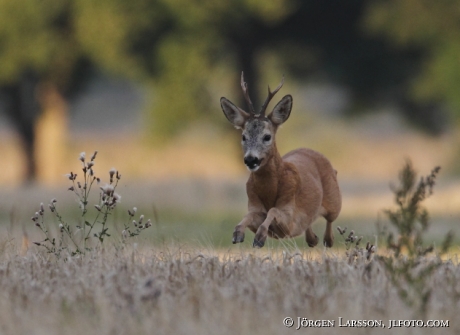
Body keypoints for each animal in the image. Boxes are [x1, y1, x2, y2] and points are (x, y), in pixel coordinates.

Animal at [219, 73, 342, 249]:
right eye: (243, 136)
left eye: (267, 136)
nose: (250, 159)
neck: (269, 191)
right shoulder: (254, 205)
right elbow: (248, 215)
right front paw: (237, 234)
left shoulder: (289, 218)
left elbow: (273, 211)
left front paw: (259, 238)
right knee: (312, 232)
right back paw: (313, 239)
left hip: (335, 200)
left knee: (330, 224)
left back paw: (327, 240)